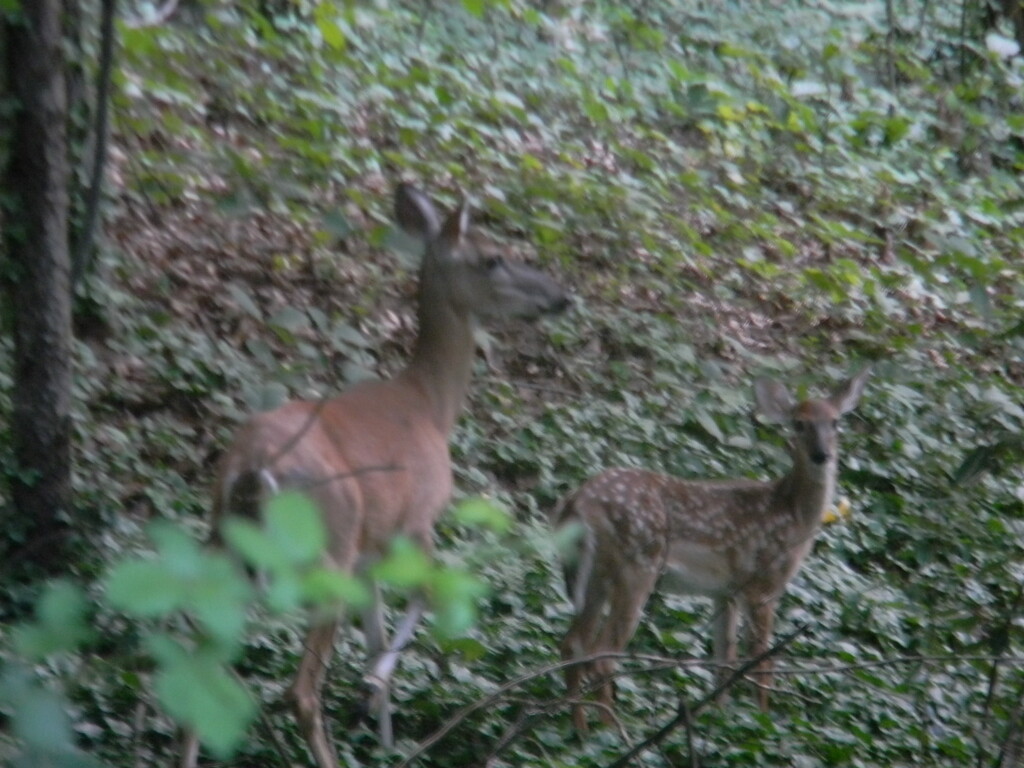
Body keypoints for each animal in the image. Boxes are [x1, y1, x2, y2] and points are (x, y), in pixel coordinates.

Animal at [184, 183, 569, 765]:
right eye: (493, 257)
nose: (560, 296)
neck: (430, 403)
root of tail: (252, 473)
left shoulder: (372, 550)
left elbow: (376, 631)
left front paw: (380, 725)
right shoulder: (417, 519)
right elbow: (426, 596)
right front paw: (370, 690)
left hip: (225, 549)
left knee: (192, 672)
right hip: (326, 551)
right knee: (301, 691)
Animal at [552, 370, 872, 729]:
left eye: (835, 422)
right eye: (799, 423)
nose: (821, 455)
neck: (793, 514)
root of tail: (576, 503)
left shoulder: (724, 591)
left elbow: (724, 659)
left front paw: (722, 720)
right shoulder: (763, 584)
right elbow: (761, 662)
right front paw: (763, 722)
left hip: (594, 574)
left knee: (573, 644)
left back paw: (581, 732)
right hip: (637, 564)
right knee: (603, 655)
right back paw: (612, 732)